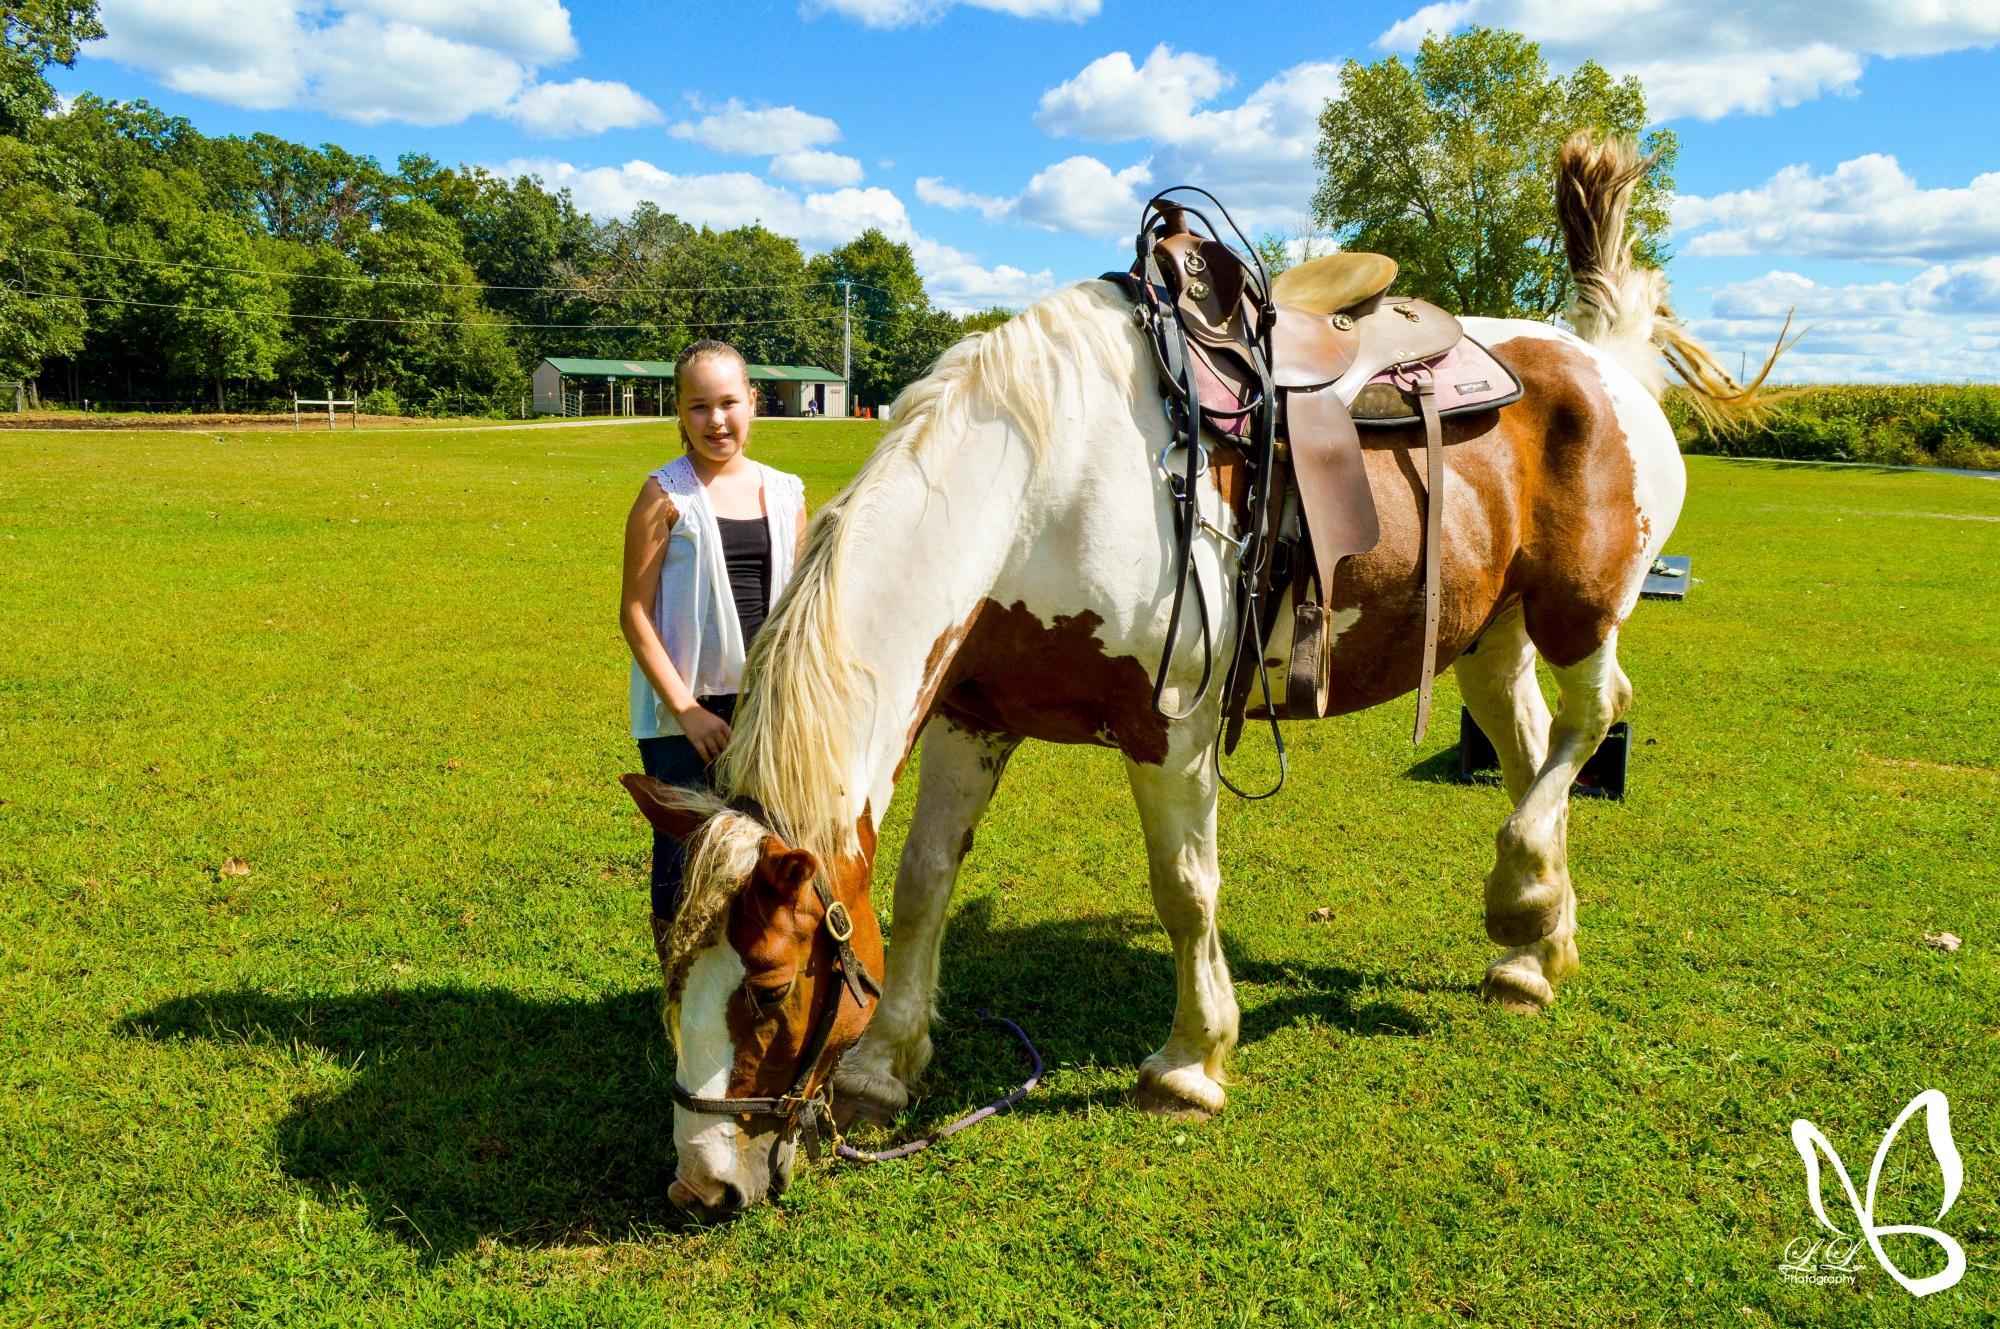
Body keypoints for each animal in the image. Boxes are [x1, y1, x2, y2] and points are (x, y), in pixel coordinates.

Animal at [624, 143, 1768, 1216]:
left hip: (1580, 613)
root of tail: (1601, 357)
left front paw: (1189, 1063)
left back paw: (1518, 889)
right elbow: (922, 881)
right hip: (1487, 634)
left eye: (770, 988)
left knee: (1595, 719)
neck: (1039, 485)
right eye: (673, 969)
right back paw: (1535, 947)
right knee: (1530, 749)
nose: (701, 1185)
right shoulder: (970, 716)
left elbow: (1182, 890)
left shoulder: (1168, 732)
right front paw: (882, 1066)